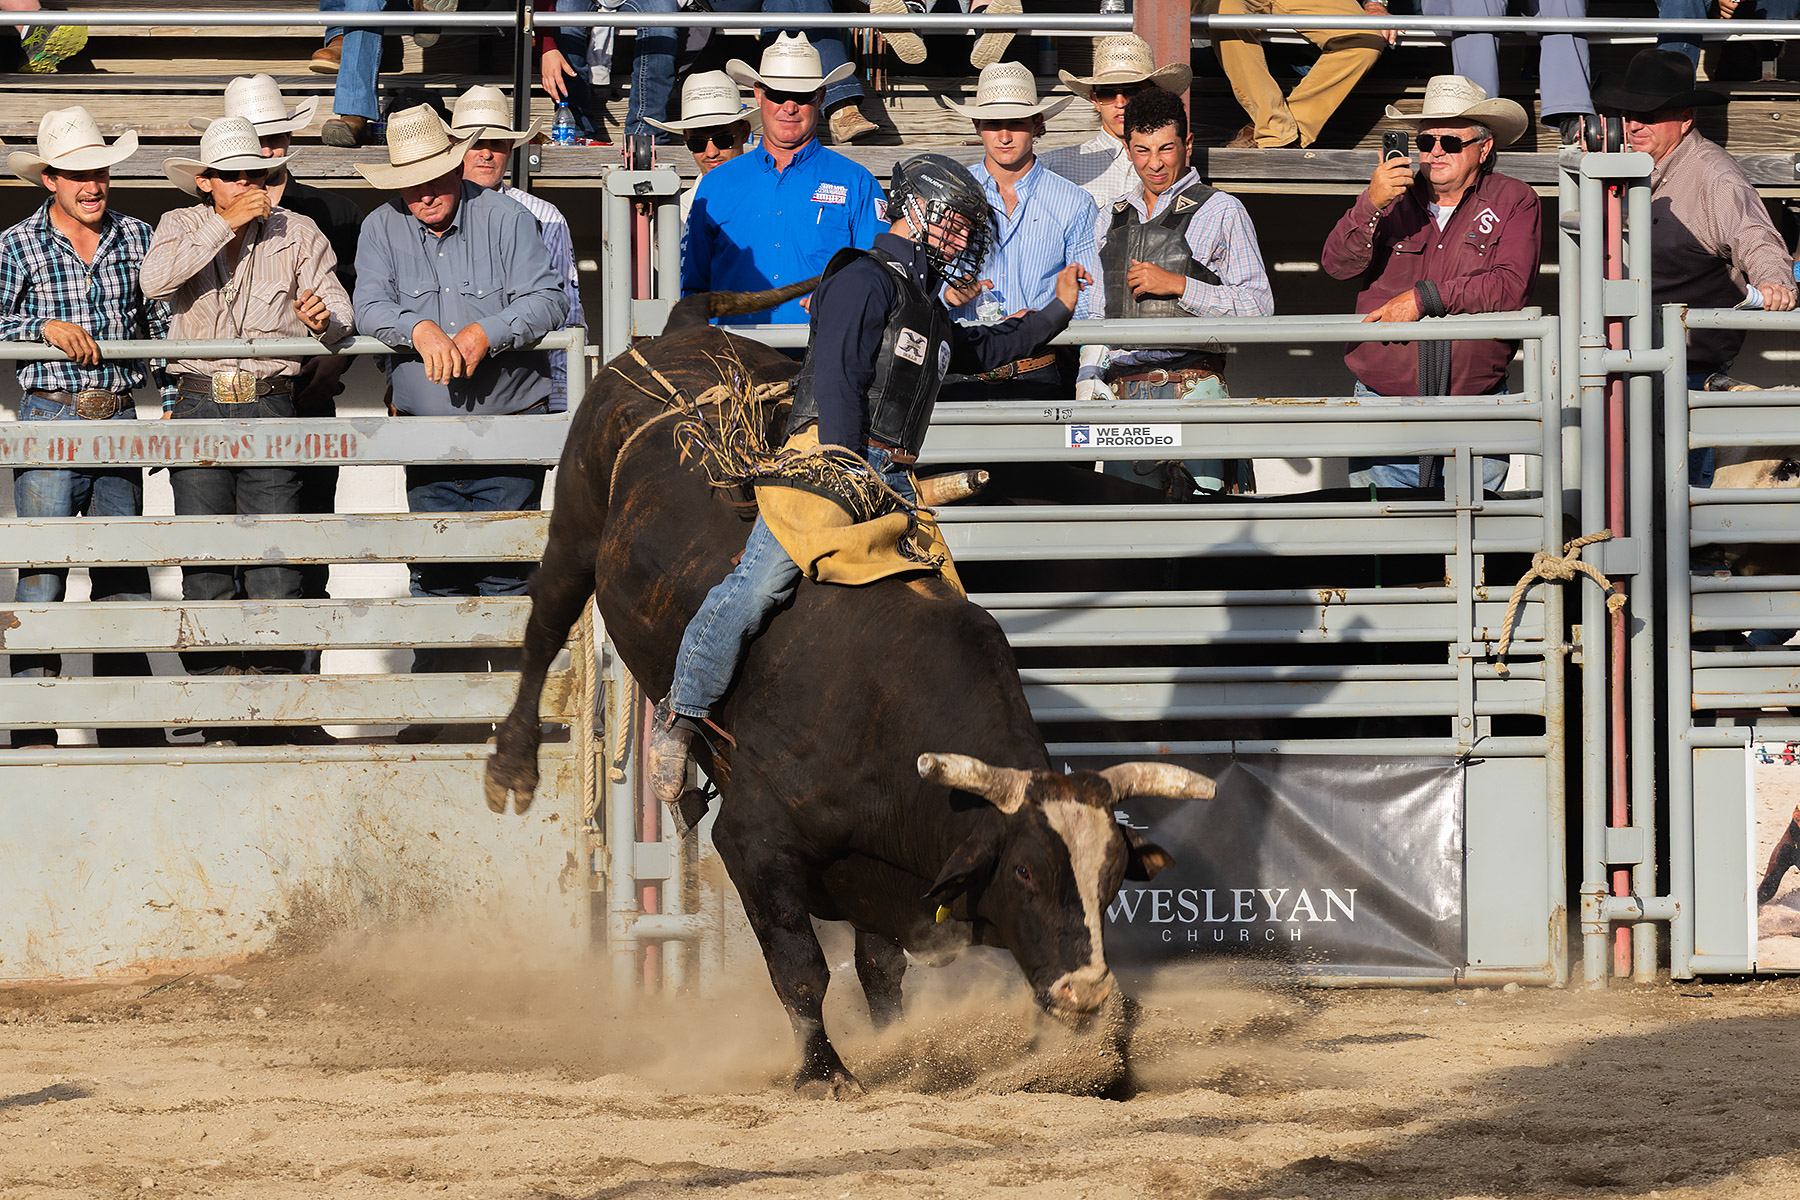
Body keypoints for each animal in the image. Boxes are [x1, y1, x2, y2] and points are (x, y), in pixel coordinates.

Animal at [484, 284, 1216, 1098]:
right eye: (1025, 870)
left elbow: (879, 967)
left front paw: (899, 1047)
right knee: (545, 621)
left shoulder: (881, 876)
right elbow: (802, 969)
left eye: (1114, 879)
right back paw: (514, 763)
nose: (1085, 992)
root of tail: (682, 331)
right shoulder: (754, 844)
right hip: (576, 521)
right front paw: (824, 1072)